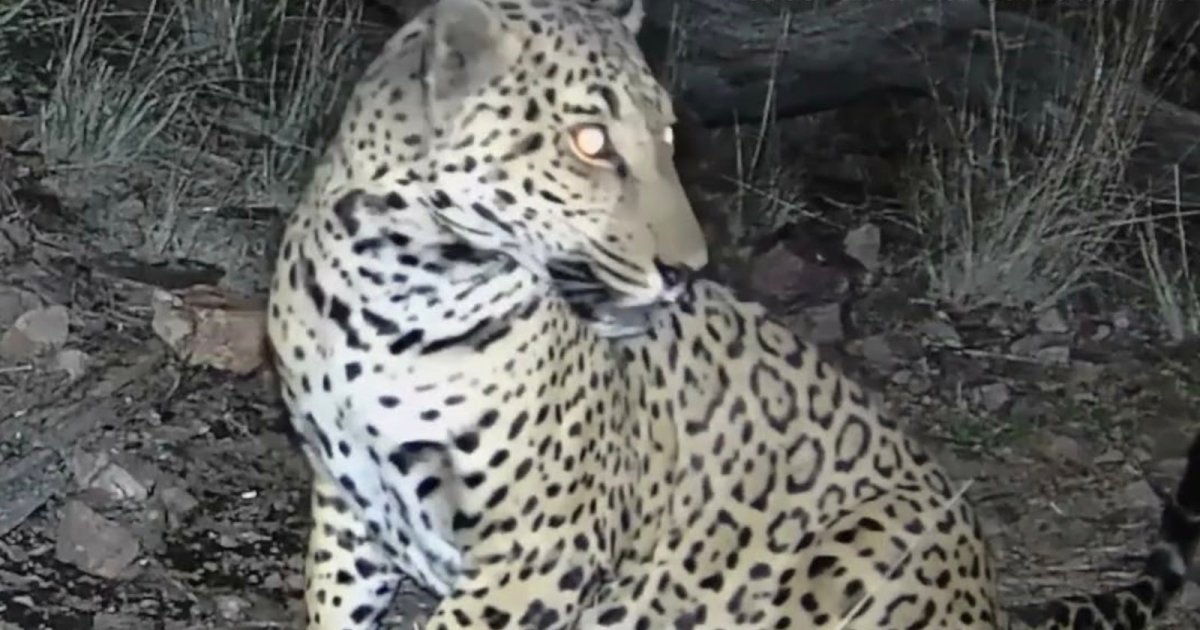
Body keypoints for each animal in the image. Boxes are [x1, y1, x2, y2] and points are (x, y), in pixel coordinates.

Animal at [264, 0, 1200, 628]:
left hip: (865, 545)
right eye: (590, 143)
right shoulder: (348, 507)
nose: (687, 272)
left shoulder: (544, 545)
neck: (391, 296)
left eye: (669, 138)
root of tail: (992, 600)